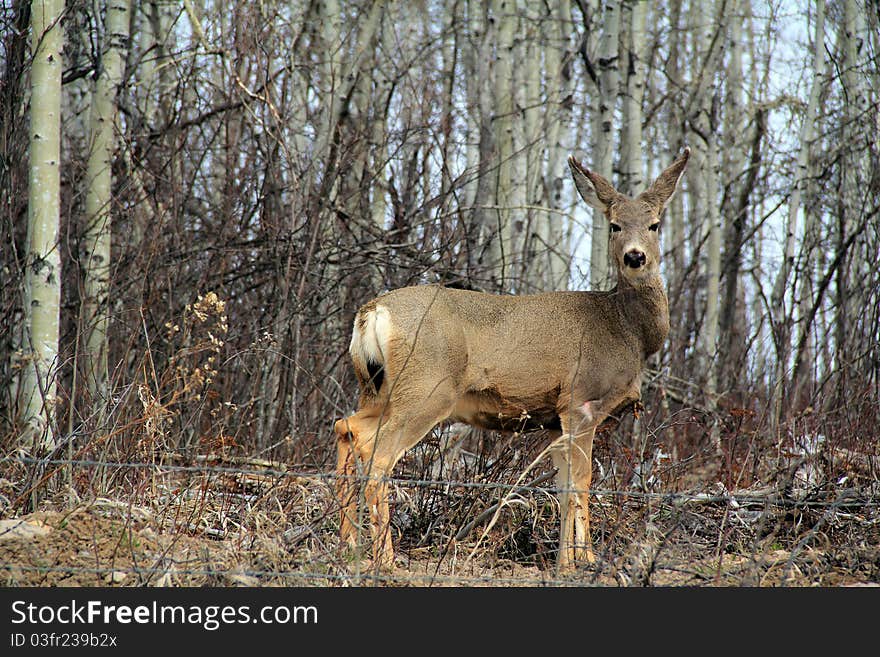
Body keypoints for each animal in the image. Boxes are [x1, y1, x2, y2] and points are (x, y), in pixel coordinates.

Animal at [334, 146, 692, 568]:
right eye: (614, 226)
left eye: (654, 224)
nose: (635, 257)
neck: (626, 329)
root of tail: (372, 313)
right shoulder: (581, 400)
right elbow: (582, 482)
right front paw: (577, 562)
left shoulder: (554, 418)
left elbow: (563, 484)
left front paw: (574, 557)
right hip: (427, 387)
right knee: (377, 457)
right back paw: (385, 557)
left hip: (376, 388)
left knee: (347, 428)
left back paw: (348, 544)